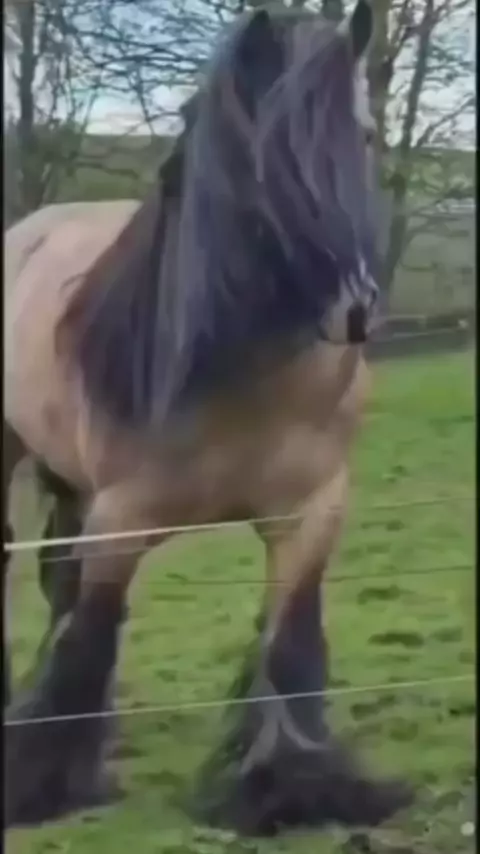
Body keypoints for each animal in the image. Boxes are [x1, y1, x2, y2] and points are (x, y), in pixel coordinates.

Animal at [3, 1, 413, 835]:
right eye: (265, 159)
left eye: (362, 136)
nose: (356, 311)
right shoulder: (120, 522)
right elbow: (90, 635)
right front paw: (37, 784)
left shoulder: (311, 514)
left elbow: (287, 647)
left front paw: (290, 786)